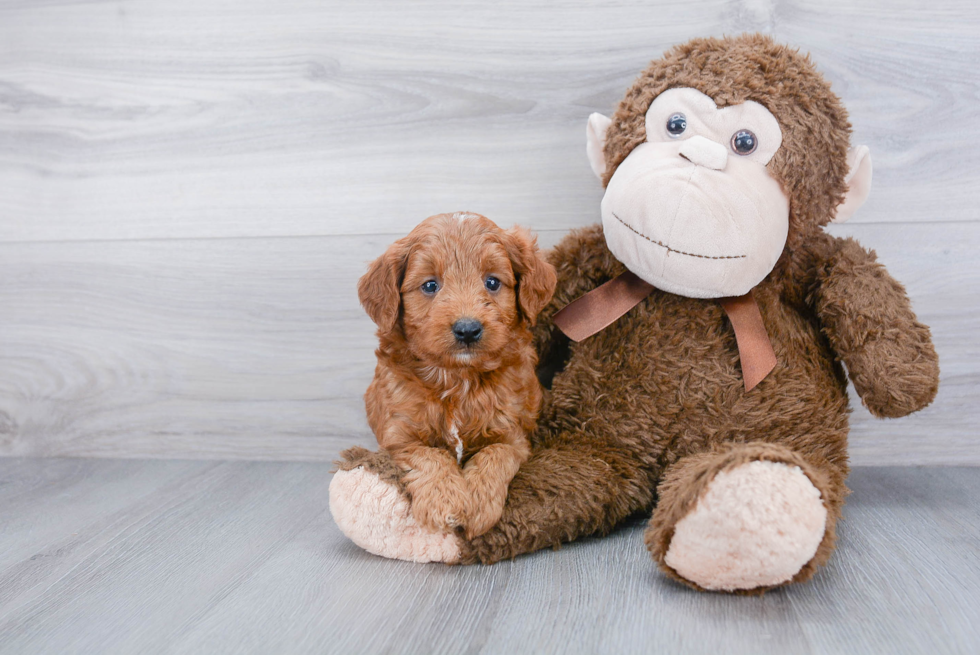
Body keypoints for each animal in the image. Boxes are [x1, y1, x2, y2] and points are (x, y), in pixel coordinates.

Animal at [358, 213, 560, 540]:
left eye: (492, 282)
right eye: (430, 285)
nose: (467, 329)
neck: (458, 380)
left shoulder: (514, 437)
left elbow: (495, 453)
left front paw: (478, 503)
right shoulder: (398, 438)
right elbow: (431, 455)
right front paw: (445, 501)